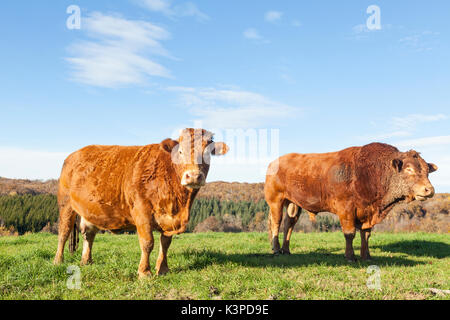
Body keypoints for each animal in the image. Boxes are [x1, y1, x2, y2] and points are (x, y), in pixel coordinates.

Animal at [53, 128, 229, 278]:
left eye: (207, 153)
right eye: (180, 152)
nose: (193, 176)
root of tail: (74, 154)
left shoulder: (169, 218)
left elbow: (165, 243)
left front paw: (162, 269)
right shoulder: (141, 211)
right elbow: (147, 242)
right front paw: (144, 272)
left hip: (90, 209)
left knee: (88, 233)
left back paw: (86, 261)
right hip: (66, 204)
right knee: (64, 232)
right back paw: (58, 261)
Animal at [266, 144, 438, 262]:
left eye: (427, 171)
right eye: (409, 169)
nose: (429, 189)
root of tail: (275, 162)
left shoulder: (368, 212)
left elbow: (366, 234)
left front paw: (366, 256)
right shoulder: (346, 210)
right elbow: (349, 234)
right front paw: (350, 256)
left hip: (293, 204)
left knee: (289, 224)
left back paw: (286, 250)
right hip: (276, 200)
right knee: (276, 223)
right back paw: (276, 249)